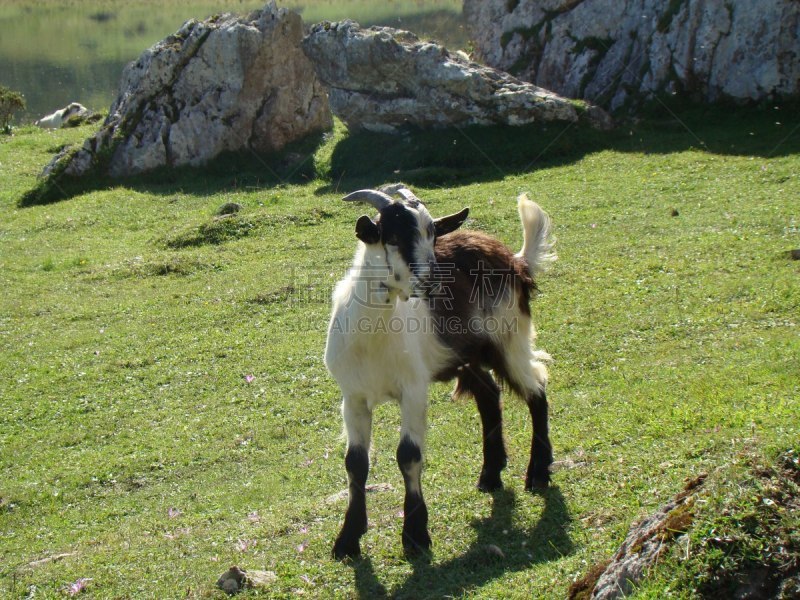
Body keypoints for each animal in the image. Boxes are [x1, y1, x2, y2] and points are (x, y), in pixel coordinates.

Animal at [324, 185, 556, 560]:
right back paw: (490, 474)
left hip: (509, 339)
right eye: (393, 236)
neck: (375, 335)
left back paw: (538, 474)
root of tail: (515, 259)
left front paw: (416, 535)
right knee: (490, 395)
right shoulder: (353, 397)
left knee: (537, 388)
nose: (433, 280)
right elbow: (355, 463)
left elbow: (408, 455)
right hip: (468, 354)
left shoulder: (413, 390)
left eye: (432, 233)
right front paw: (348, 540)